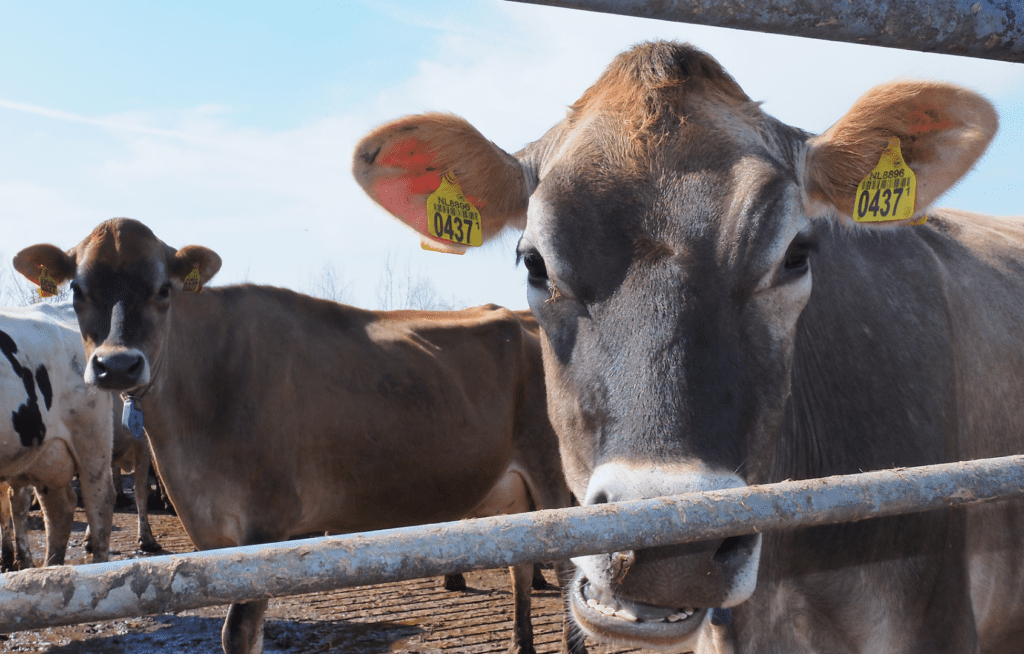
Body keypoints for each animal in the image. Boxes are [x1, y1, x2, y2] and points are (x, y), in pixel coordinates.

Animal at [13, 221, 576, 654]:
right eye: (76, 291)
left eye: (164, 289)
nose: (116, 365)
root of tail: (521, 317)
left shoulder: (265, 527)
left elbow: (239, 634)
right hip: (512, 496)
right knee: (522, 567)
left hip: (556, 482)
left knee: (570, 569)